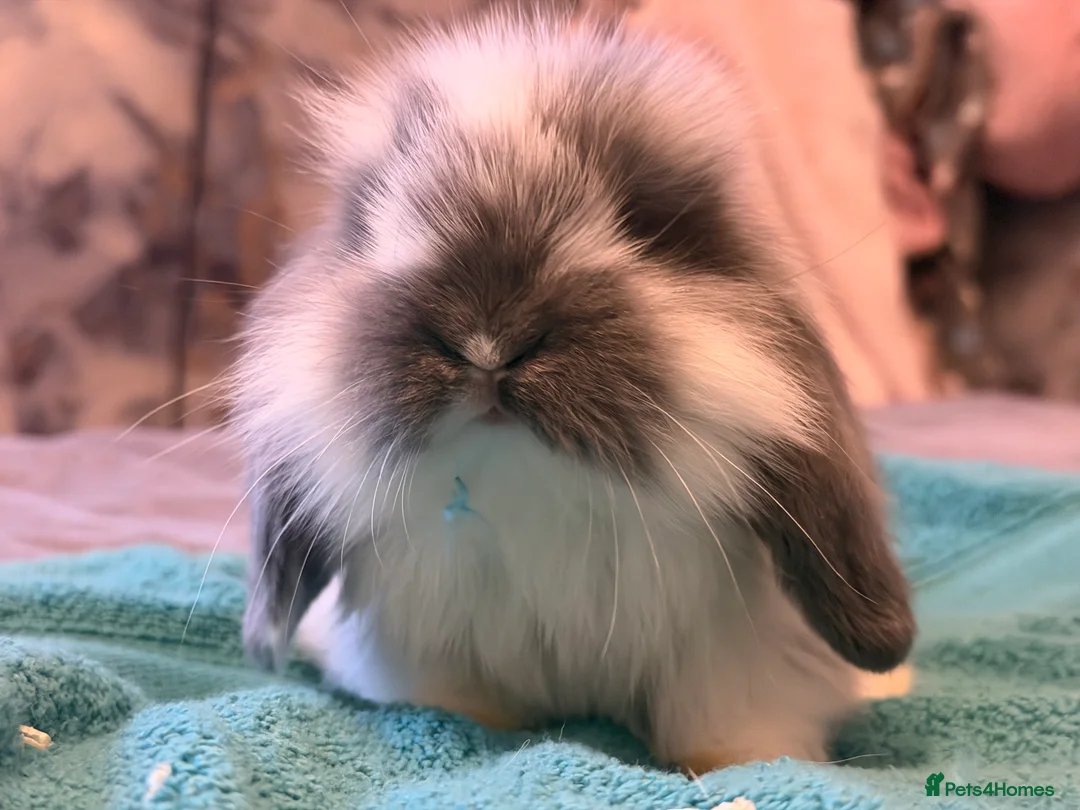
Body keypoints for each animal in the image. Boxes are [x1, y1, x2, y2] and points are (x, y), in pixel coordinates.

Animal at [232, 8, 916, 774]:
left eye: (647, 222)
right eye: (368, 219)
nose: (488, 344)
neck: (534, 492)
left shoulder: (730, 662)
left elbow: (728, 731)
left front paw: (738, 770)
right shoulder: (430, 652)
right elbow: (456, 706)